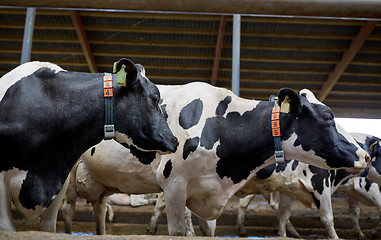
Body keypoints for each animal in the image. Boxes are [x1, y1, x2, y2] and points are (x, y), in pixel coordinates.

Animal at [60, 81, 366, 235]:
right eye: (328, 117)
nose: (364, 155)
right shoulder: (173, 185)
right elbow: (178, 230)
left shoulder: (207, 190)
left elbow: (209, 229)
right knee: (67, 209)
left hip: (101, 184)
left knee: (99, 214)